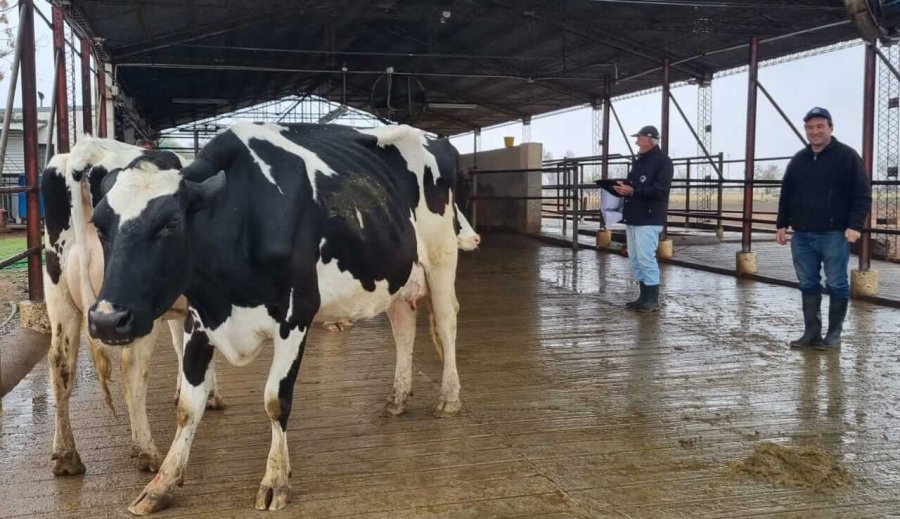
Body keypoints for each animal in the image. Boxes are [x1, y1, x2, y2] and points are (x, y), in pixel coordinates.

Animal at [40, 139, 225, 480]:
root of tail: (89, 149)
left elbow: (181, 346)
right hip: (130, 309)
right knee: (132, 367)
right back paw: (145, 451)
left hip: (59, 293)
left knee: (60, 362)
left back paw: (66, 455)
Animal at [88, 123, 474, 516]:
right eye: (99, 225)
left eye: (171, 223)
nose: (107, 320)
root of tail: (432, 138)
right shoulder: (200, 318)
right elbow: (187, 406)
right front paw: (162, 483)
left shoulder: (296, 315)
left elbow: (276, 400)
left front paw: (275, 480)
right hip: (395, 272)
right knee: (403, 328)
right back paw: (398, 397)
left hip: (441, 258)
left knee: (447, 323)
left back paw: (449, 398)